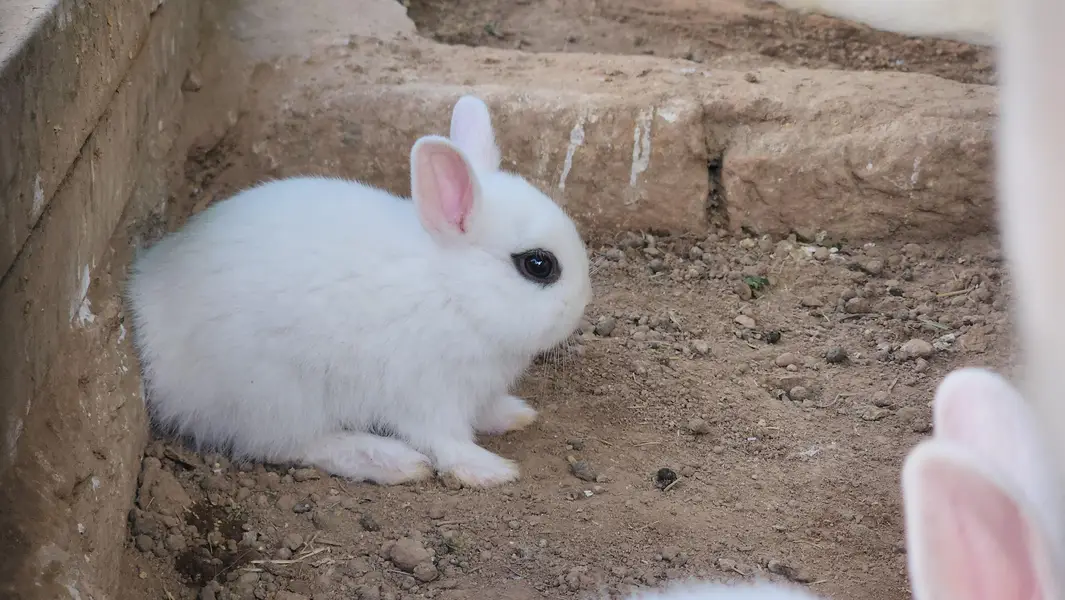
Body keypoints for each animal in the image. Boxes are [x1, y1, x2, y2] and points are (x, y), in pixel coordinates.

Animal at [126, 95, 593, 488]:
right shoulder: (427, 395)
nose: (583, 304)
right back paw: (391, 461)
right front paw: (490, 471)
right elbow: (446, 442)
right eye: (538, 265)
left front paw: (514, 415)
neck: (453, 291)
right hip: (278, 397)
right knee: (293, 446)